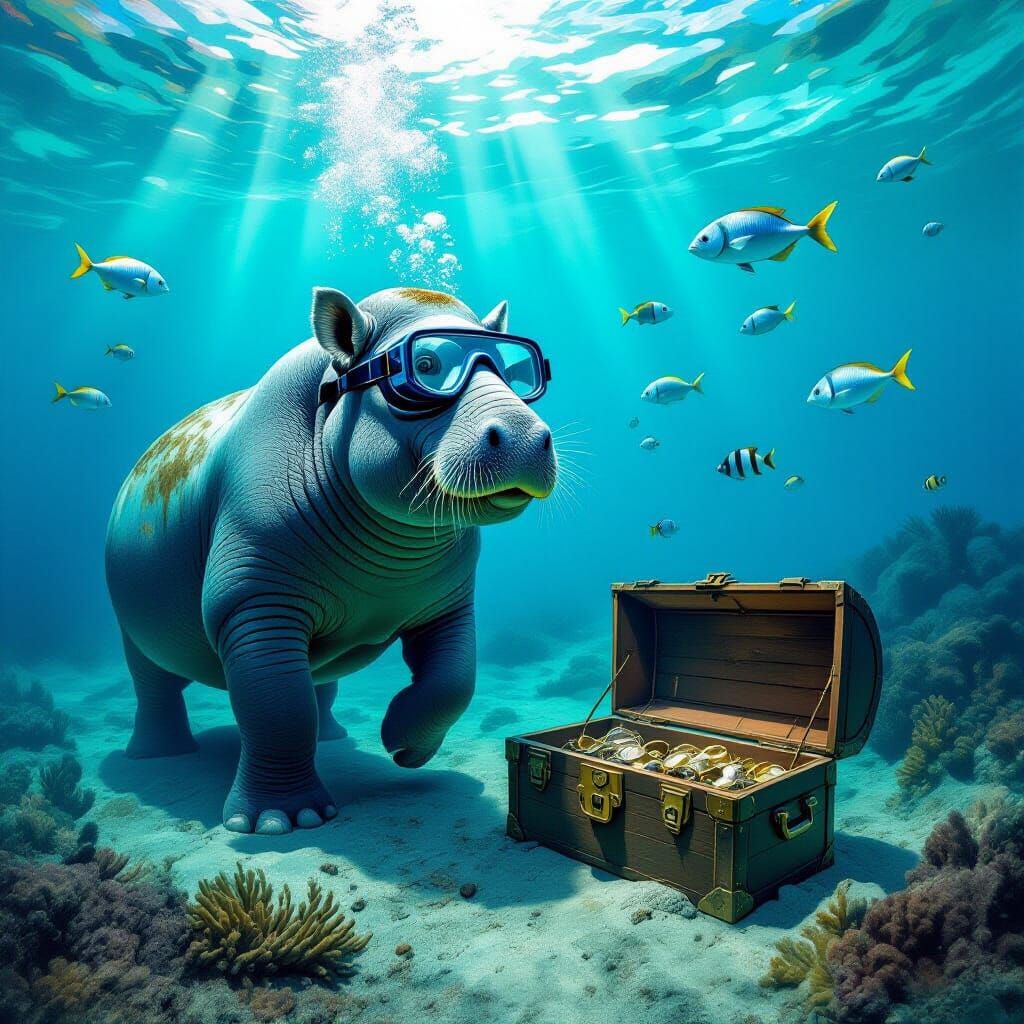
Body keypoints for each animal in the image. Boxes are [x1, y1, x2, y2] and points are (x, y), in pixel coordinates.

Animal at [105, 286, 557, 835]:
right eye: (427, 365)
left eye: (516, 372)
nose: (528, 438)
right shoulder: (254, 604)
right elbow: (276, 705)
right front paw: (281, 823)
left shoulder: (449, 604)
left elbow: (454, 679)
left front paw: (403, 748)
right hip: (131, 624)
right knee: (154, 681)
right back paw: (158, 758)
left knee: (320, 681)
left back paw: (335, 738)